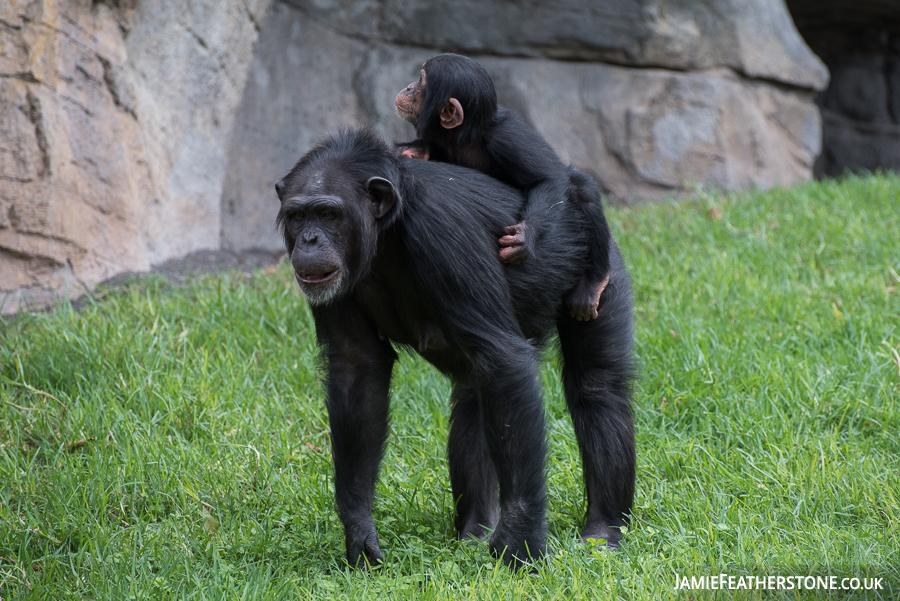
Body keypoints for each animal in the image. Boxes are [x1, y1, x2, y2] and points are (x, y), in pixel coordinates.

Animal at [274, 126, 632, 568]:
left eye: (328, 214)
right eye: (297, 216)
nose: (308, 239)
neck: (386, 231)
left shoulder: (441, 231)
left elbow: (503, 357)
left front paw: (520, 542)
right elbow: (357, 371)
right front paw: (359, 534)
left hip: (601, 270)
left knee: (595, 386)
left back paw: (603, 529)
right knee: (474, 400)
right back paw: (476, 528)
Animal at [398, 53, 616, 322]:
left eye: (420, 81)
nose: (409, 87)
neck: (464, 135)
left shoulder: (506, 139)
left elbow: (548, 178)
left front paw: (524, 237)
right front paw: (417, 150)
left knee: (581, 190)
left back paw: (594, 283)